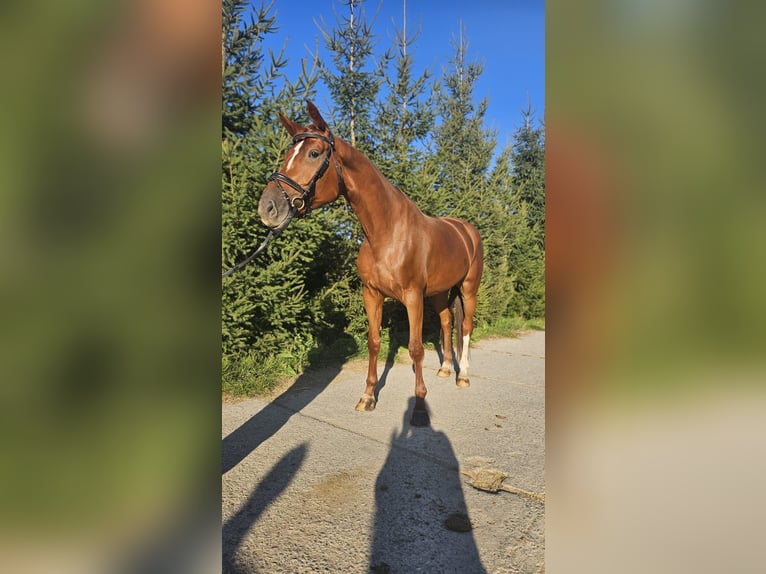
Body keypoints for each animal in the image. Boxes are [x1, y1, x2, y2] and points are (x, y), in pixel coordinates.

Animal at [258, 102, 486, 428]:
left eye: (313, 153)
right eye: (289, 153)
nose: (268, 208)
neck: (386, 232)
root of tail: (466, 229)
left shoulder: (413, 297)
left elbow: (416, 348)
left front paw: (419, 407)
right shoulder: (372, 294)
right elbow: (374, 341)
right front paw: (367, 397)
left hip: (468, 288)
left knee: (466, 325)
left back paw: (463, 375)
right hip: (439, 293)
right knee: (446, 322)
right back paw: (445, 369)